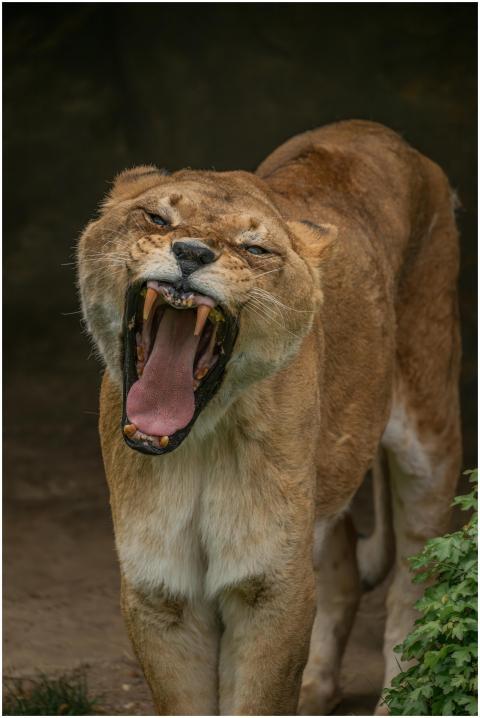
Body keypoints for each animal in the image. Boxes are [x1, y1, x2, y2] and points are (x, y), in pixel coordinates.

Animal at [77, 120, 461, 715]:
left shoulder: (270, 587)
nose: (191, 253)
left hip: (431, 440)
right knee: (342, 569)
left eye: (254, 247)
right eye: (158, 219)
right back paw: (316, 689)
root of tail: (383, 132)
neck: (201, 440)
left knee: (415, 582)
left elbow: (259, 694)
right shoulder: (159, 591)